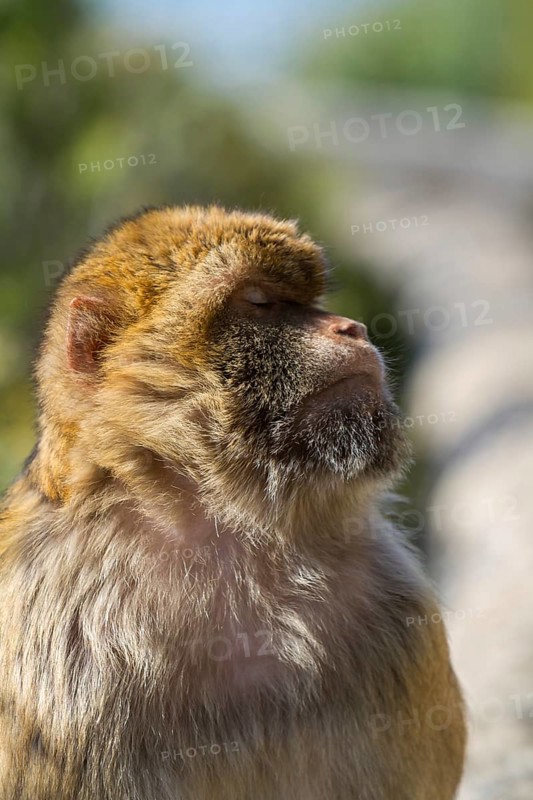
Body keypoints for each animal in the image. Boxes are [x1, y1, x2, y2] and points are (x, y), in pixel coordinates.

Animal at [0, 205, 466, 800]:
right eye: (260, 301)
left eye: (310, 301)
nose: (352, 327)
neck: (237, 536)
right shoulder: (53, 650)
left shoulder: (396, 602)